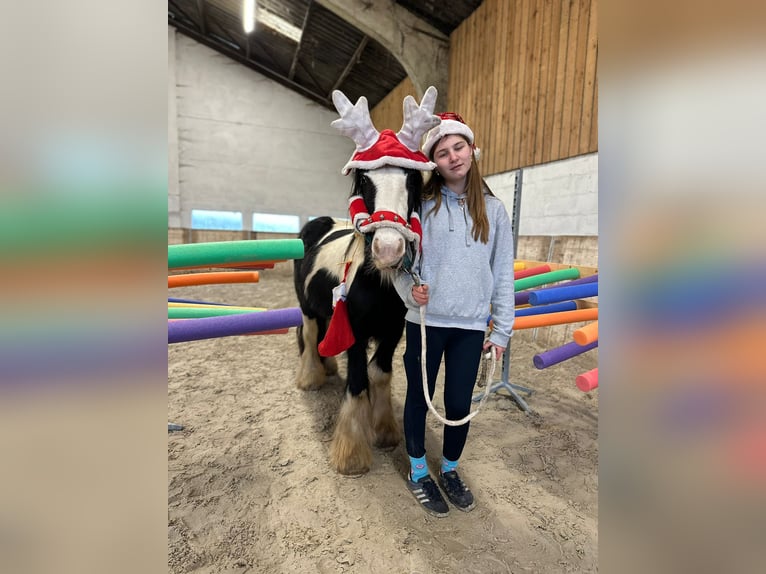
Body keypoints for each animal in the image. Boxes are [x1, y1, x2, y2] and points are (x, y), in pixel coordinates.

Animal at [292, 88, 438, 474]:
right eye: (363, 181)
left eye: (412, 180)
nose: (389, 248)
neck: (379, 285)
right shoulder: (355, 330)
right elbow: (358, 381)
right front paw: (351, 453)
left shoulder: (392, 331)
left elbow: (380, 374)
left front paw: (385, 430)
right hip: (306, 306)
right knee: (310, 334)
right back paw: (311, 377)